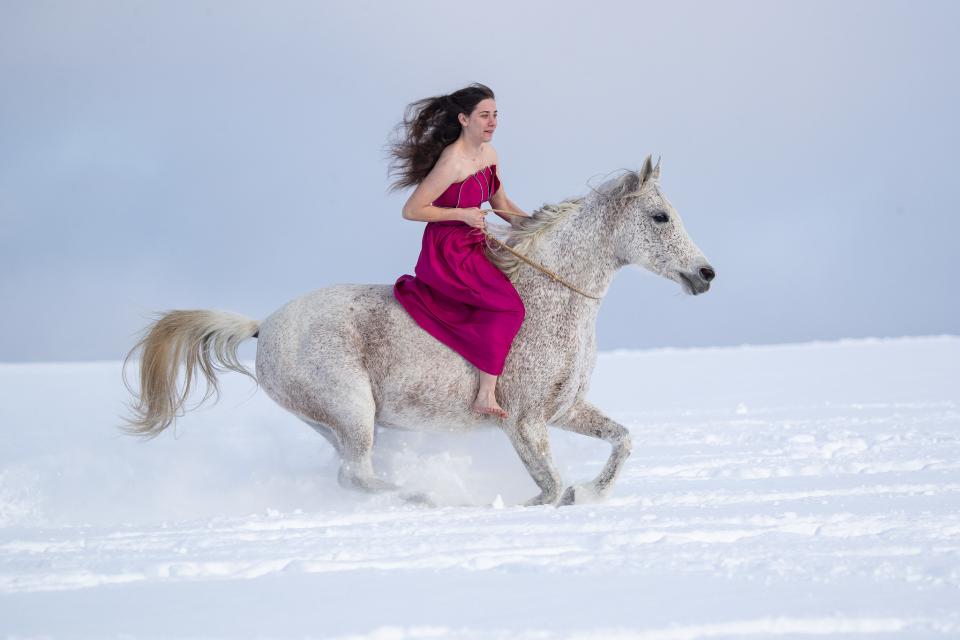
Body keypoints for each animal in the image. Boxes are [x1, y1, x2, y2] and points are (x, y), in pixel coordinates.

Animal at [124, 155, 712, 504]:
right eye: (660, 217)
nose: (705, 274)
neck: (552, 303)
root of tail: (263, 327)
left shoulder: (563, 411)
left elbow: (622, 441)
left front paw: (590, 493)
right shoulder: (523, 421)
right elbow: (548, 483)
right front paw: (548, 501)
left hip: (339, 422)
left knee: (349, 474)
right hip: (350, 408)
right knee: (356, 474)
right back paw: (423, 496)